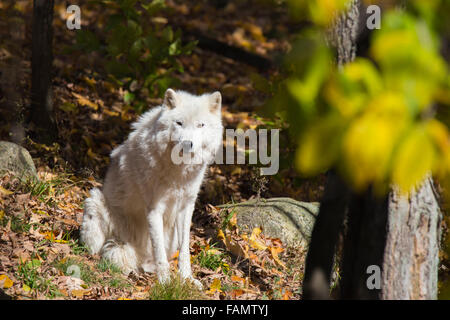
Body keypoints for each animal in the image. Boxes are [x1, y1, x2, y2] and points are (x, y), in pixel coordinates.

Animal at [80, 88, 223, 288]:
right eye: (179, 123)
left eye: (200, 125)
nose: (188, 144)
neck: (178, 172)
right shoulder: (155, 209)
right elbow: (159, 252)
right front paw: (165, 284)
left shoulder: (186, 207)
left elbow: (184, 251)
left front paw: (187, 279)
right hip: (94, 201)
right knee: (98, 251)